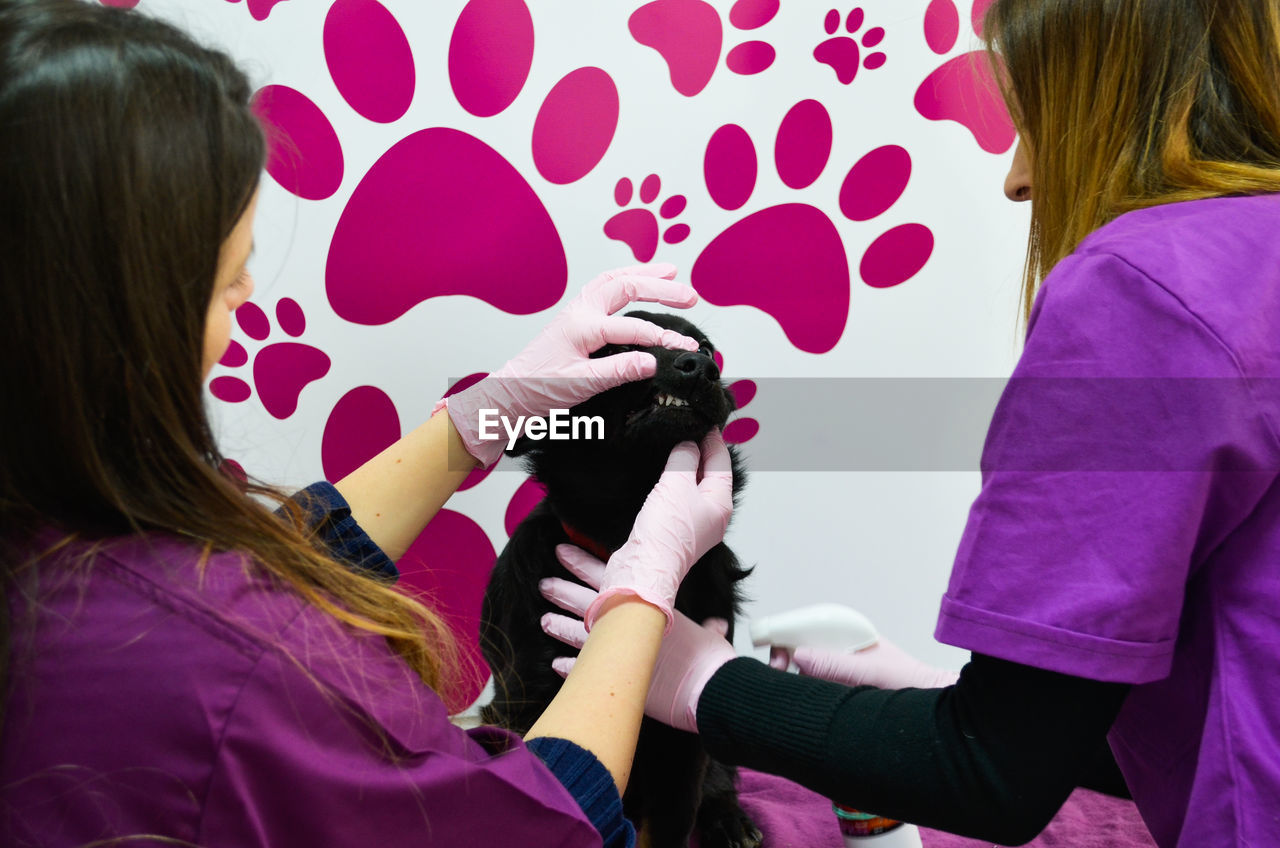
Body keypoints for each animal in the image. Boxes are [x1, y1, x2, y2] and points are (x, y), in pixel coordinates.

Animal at [481, 312, 757, 848]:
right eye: (614, 349)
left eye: (706, 348)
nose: (700, 367)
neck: (625, 534)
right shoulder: (527, 698)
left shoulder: (683, 734)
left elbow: (672, 823)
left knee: (721, 779)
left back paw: (730, 819)